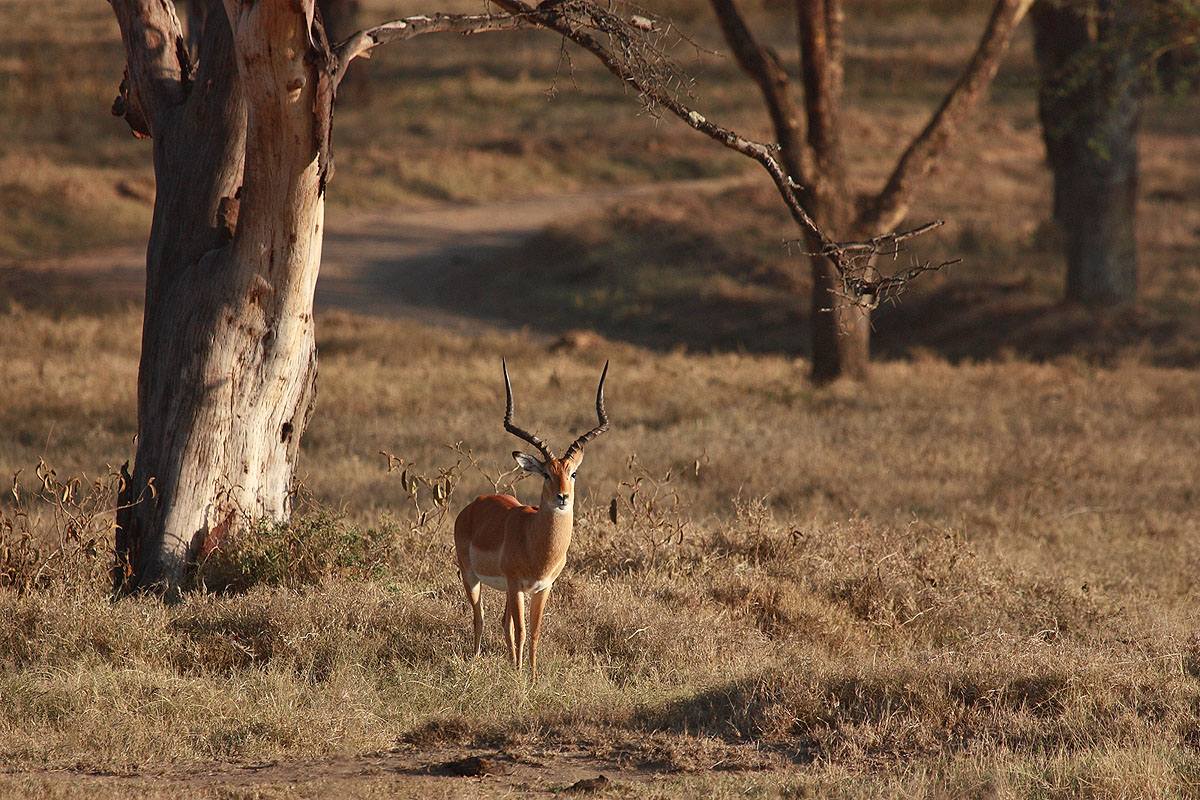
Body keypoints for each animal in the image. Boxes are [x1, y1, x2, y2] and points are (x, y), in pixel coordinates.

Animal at [453, 359, 609, 681]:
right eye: (546, 474)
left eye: (573, 472)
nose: (563, 497)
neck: (534, 542)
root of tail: (473, 505)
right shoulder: (516, 585)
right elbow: (522, 631)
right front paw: (519, 677)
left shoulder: (542, 588)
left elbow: (535, 632)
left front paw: (534, 677)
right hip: (471, 576)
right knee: (480, 616)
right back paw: (475, 661)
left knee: (502, 621)